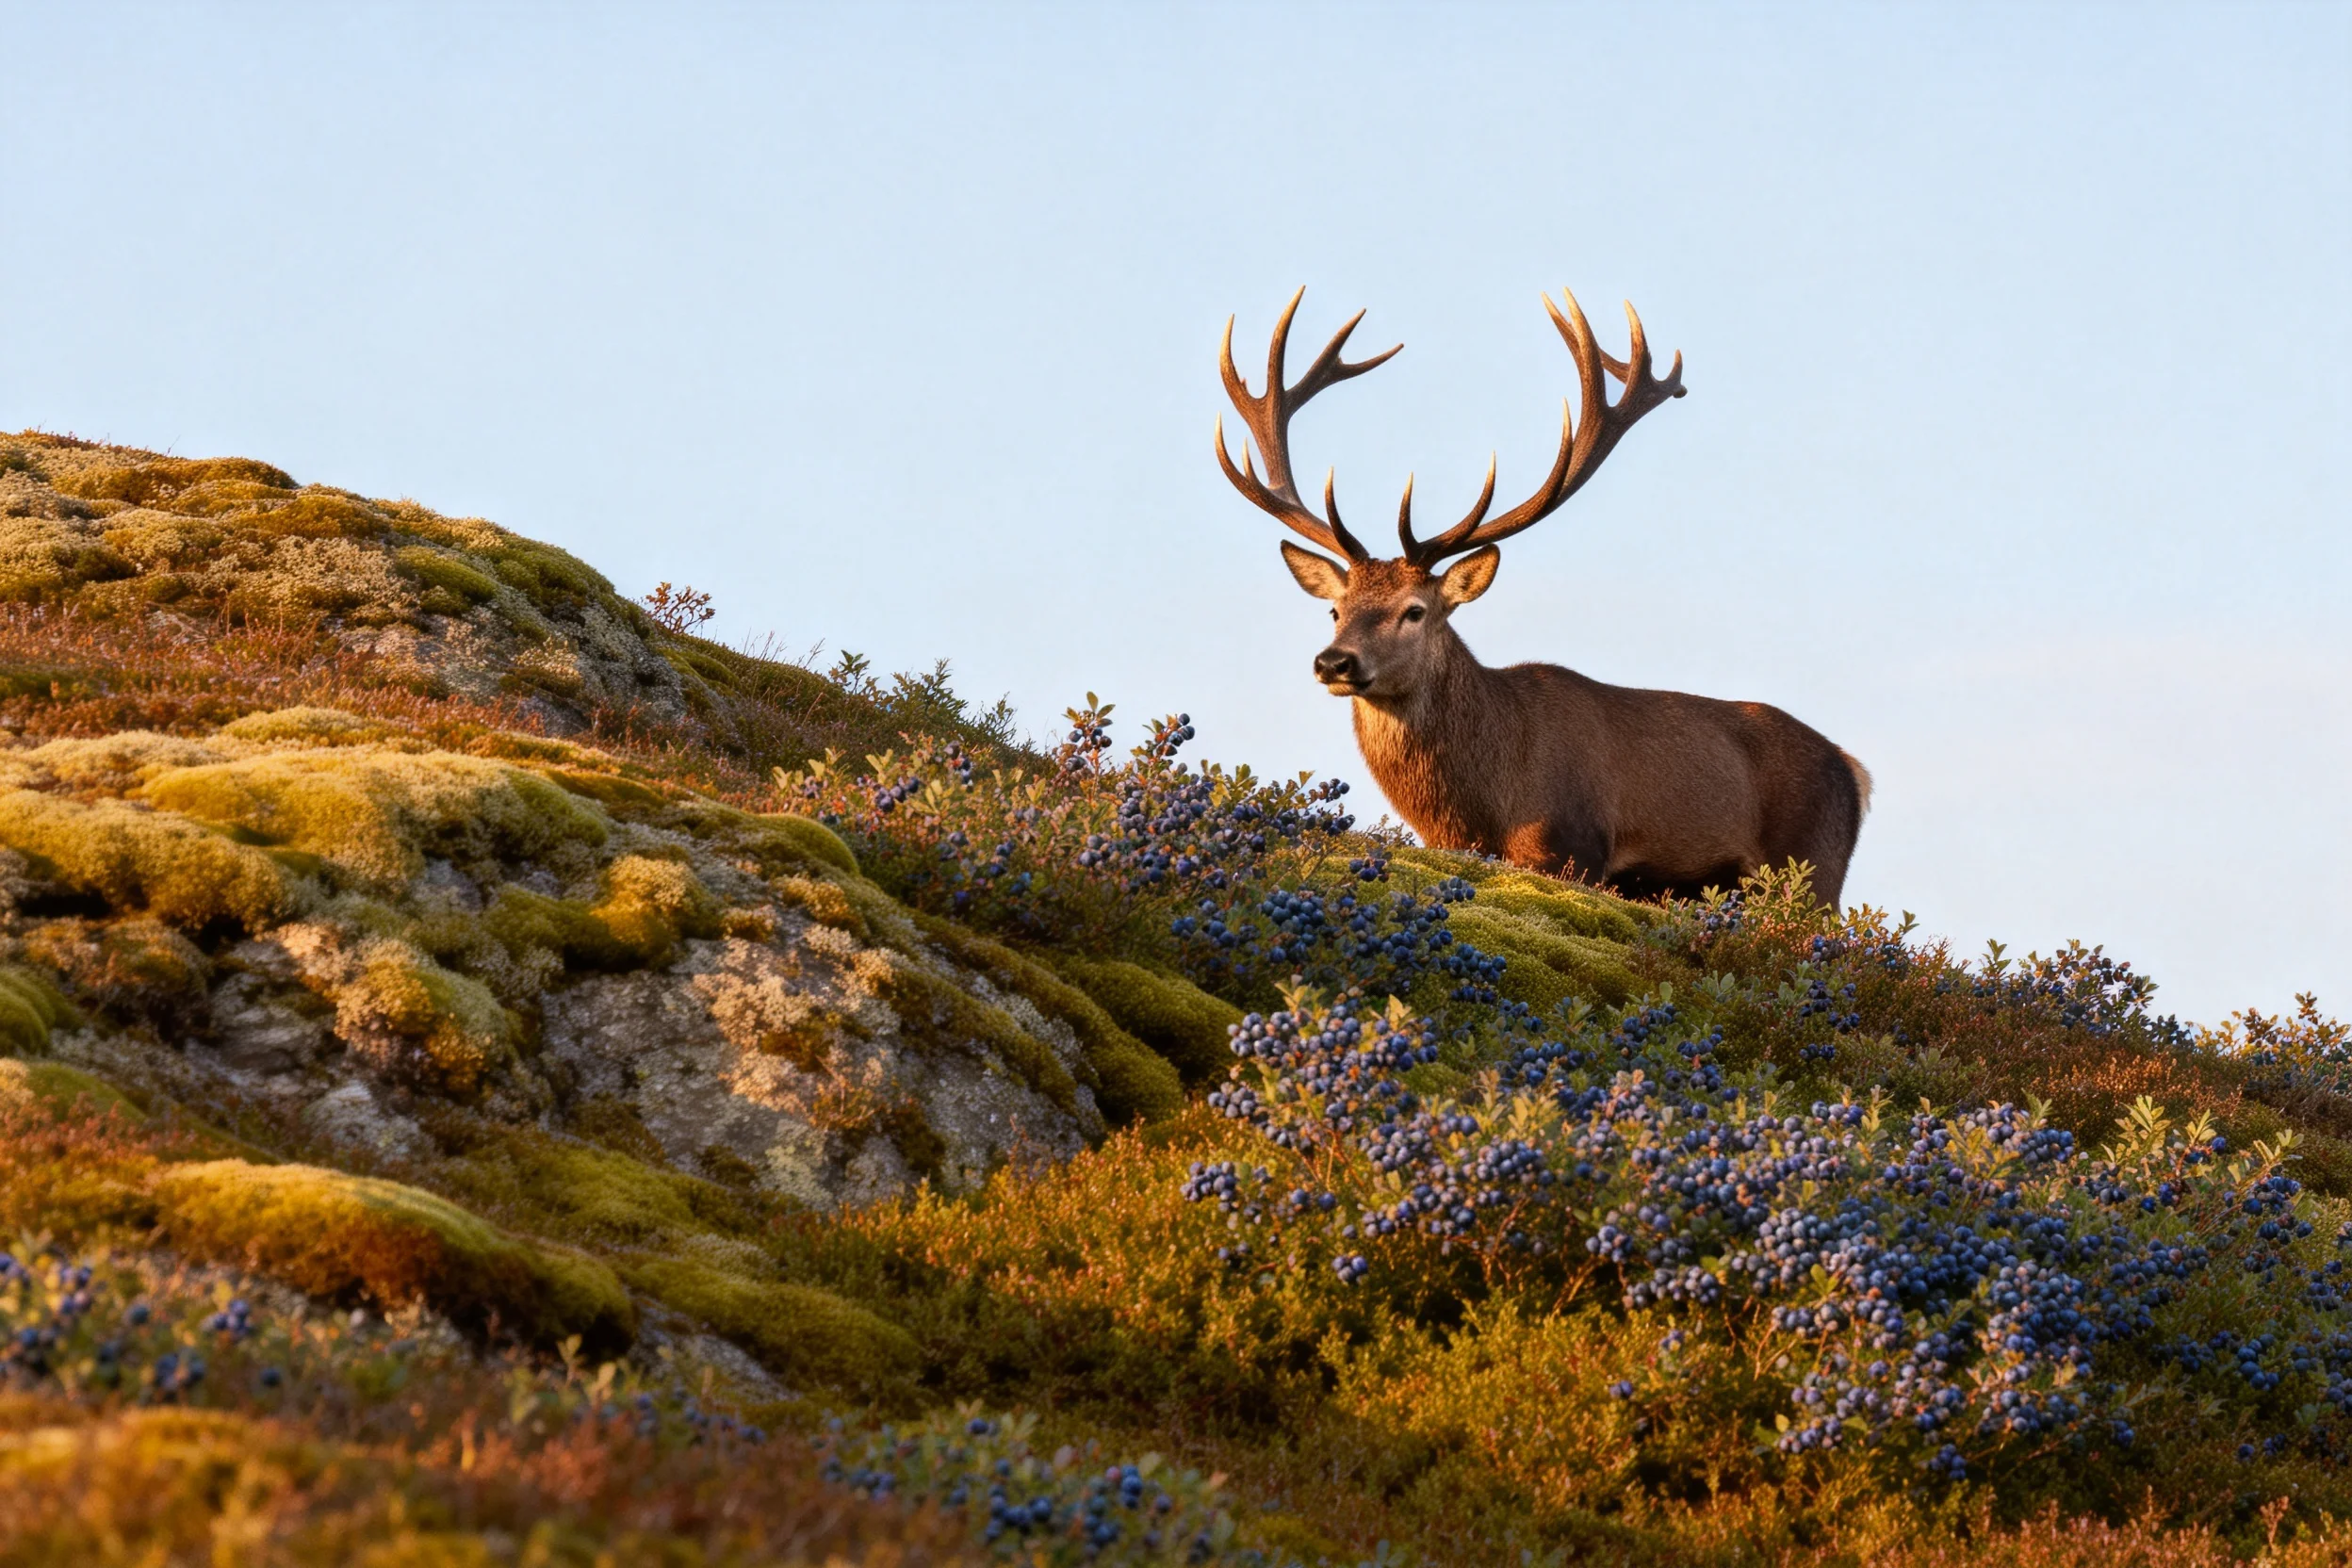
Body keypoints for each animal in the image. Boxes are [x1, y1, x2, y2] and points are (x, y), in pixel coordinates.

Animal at [1214, 286, 1872, 906]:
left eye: (1414, 611)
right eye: (1335, 609)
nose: (1334, 662)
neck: (1482, 806)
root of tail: (1854, 772)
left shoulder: (1571, 846)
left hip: (1812, 868)